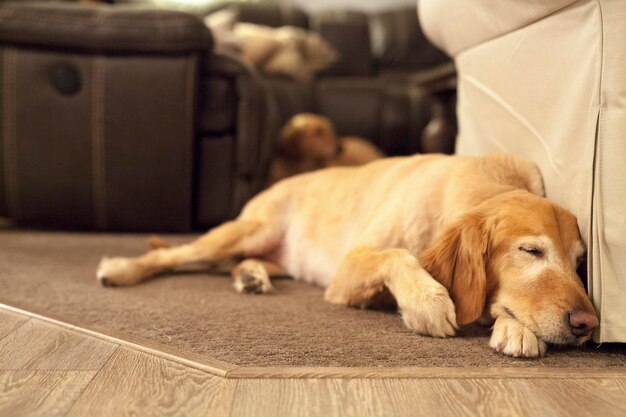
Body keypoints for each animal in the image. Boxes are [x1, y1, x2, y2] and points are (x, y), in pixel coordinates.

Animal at [96, 153, 596, 358]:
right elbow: (399, 257)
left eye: (579, 264)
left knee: (236, 264)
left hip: (268, 252)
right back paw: (119, 268)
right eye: (531, 251)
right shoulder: (349, 268)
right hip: (248, 230)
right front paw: (427, 302)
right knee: (175, 255)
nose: (588, 325)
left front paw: (514, 329)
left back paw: (252, 277)